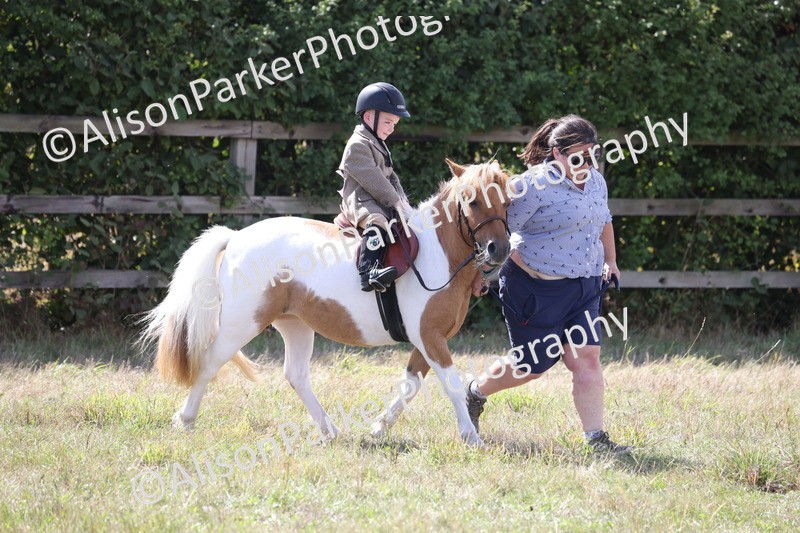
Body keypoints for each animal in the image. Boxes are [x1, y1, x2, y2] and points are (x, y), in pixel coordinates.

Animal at [139, 158, 512, 446]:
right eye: (472, 201)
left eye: (507, 201)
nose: (499, 250)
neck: (437, 253)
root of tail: (236, 237)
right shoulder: (430, 337)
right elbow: (451, 385)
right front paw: (471, 437)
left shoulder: (429, 339)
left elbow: (410, 385)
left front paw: (379, 427)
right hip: (242, 323)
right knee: (210, 362)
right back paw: (186, 419)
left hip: (295, 325)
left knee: (296, 375)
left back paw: (329, 430)